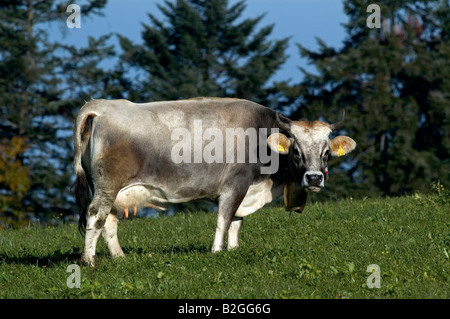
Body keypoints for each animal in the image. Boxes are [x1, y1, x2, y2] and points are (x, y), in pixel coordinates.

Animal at [73, 98, 356, 268]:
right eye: (296, 150)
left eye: (326, 152)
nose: (314, 178)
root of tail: (101, 106)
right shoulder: (235, 185)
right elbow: (223, 220)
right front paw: (218, 252)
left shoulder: (245, 192)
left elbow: (236, 223)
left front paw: (233, 250)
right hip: (107, 186)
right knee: (95, 216)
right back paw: (88, 261)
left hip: (110, 190)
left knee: (108, 221)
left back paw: (120, 257)